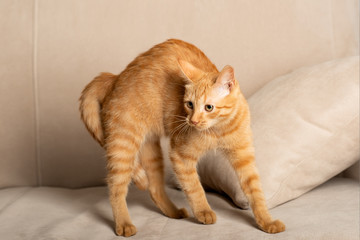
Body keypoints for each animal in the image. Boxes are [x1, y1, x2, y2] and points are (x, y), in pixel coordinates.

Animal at [79, 39, 284, 236]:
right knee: (116, 188)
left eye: (208, 107)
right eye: (189, 104)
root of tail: (115, 77)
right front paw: (203, 212)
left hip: (151, 152)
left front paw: (266, 222)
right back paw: (124, 224)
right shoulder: (181, 156)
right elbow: (195, 187)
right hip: (124, 146)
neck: (219, 129)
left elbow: (255, 192)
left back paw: (173, 212)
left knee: (154, 188)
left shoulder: (244, 157)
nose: (192, 121)